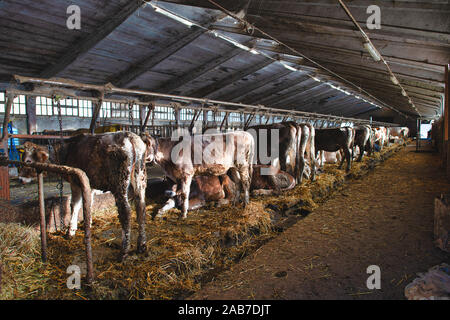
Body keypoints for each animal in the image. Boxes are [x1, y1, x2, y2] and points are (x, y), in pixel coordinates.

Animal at [21, 131, 152, 262]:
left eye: (28, 161)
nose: (21, 179)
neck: (67, 149)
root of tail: (129, 136)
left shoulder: (75, 181)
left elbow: (74, 205)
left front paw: (70, 231)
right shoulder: (91, 184)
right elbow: (89, 202)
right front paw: (88, 223)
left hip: (119, 182)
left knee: (126, 212)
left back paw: (124, 252)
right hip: (140, 176)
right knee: (141, 206)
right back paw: (142, 245)